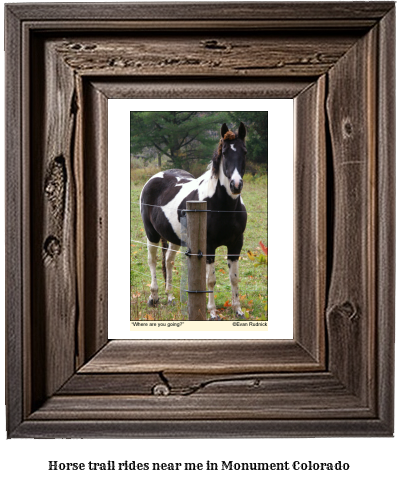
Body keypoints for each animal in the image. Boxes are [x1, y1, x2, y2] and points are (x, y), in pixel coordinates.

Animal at [140, 122, 247, 320]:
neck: (222, 205)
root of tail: (157, 176)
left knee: (168, 261)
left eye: (244, 151)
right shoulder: (209, 246)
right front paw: (212, 312)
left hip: (174, 237)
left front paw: (238, 310)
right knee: (153, 261)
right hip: (151, 234)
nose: (236, 185)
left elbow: (234, 278)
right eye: (225, 153)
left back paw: (170, 297)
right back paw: (154, 298)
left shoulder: (236, 244)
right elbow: (210, 280)